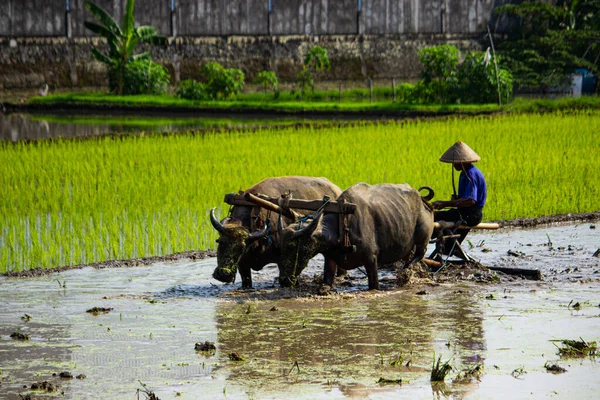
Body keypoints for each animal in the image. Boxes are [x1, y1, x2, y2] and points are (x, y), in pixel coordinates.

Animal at [276, 184, 436, 290]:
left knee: (418, 255)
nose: (284, 280)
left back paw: (406, 271)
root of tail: (423, 201)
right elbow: (327, 279)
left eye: (293, 247)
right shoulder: (330, 258)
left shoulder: (371, 258)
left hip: (423, 237)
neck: (342, 225)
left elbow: (374, 283)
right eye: (281, 248)